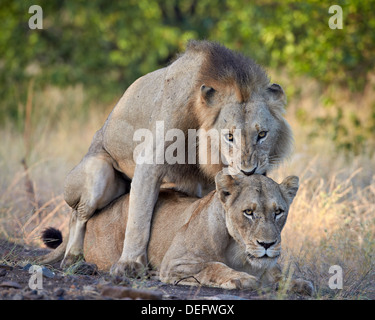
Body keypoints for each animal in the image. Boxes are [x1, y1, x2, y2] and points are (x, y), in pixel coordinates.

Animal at [41, 172, 314, 296]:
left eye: (278, 212)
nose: (267, 244)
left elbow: (280, 276)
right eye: (248, 212)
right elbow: (213, 266)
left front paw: (299, 283)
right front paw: (240, 278)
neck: (239, 250)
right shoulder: (175, 262)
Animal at [60, 40, 294, 276]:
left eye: (262, 134)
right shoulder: (149, 163)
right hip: (97, 171)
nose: (248, 171)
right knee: (77, 216)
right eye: (229, 136)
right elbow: (139, 218)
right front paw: (130, 264)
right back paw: (74, 259)